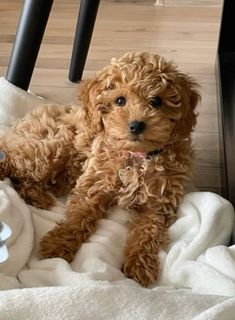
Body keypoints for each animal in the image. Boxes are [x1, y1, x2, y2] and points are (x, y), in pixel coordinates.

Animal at [0, 52, 200, 284]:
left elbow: (148, 231)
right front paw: (58, 243)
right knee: (10, 162)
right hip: (48, 149)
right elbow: (78, 216)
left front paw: (139, 264)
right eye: (120, 100)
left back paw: (37, 196)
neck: (137, 156)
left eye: (156, 101)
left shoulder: (159, 203)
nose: (136, 125)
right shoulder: (95, 183)